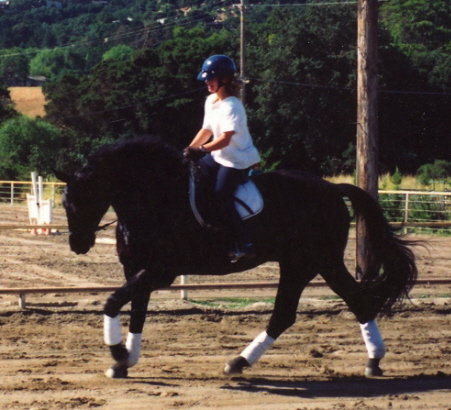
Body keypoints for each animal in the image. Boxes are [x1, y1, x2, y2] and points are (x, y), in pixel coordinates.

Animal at [54, 137, 418, 378]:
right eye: (65, 203)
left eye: (84, 199)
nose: (78, 244)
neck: (155, 198)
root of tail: (331, 189)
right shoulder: (136, 270)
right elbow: (137, 312)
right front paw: (125, 360)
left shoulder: (160, 271)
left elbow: (112, 302)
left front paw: (117, 351)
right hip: (301, 264)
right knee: (290, 313)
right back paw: (240, 362)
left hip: (319, 261)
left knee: (349, 302)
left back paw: (373, 361)